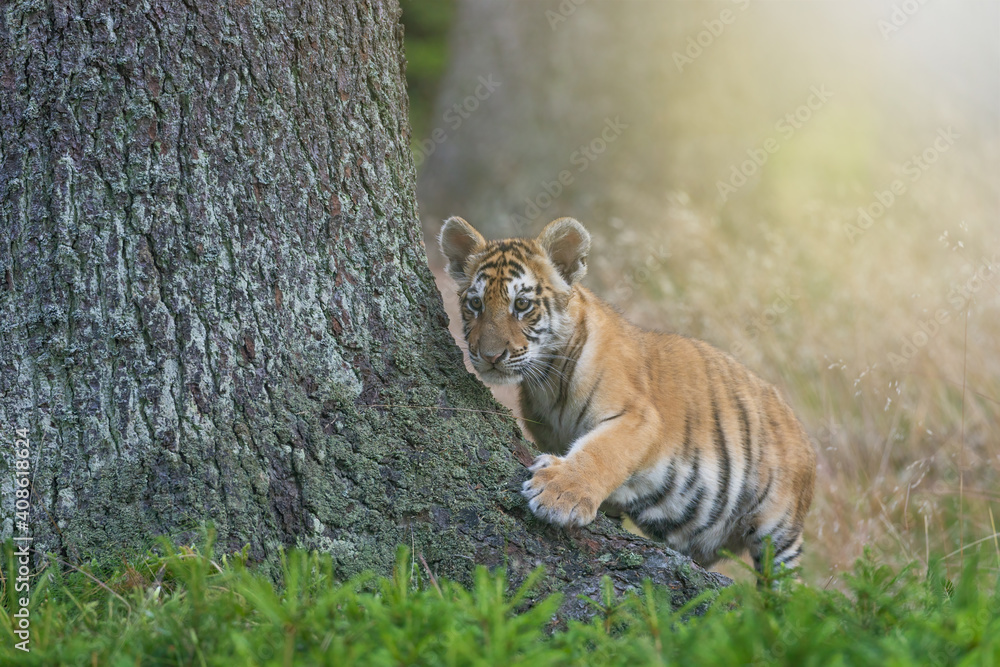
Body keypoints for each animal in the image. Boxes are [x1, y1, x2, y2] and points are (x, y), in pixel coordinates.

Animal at [438, 215, 817, 573]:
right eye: (475, 304)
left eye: (522, 304)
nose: (489, 356)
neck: (546, 380)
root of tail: (803, 432)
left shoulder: (638, 417)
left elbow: (601, 452)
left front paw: (558, 496)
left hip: (779, 528)